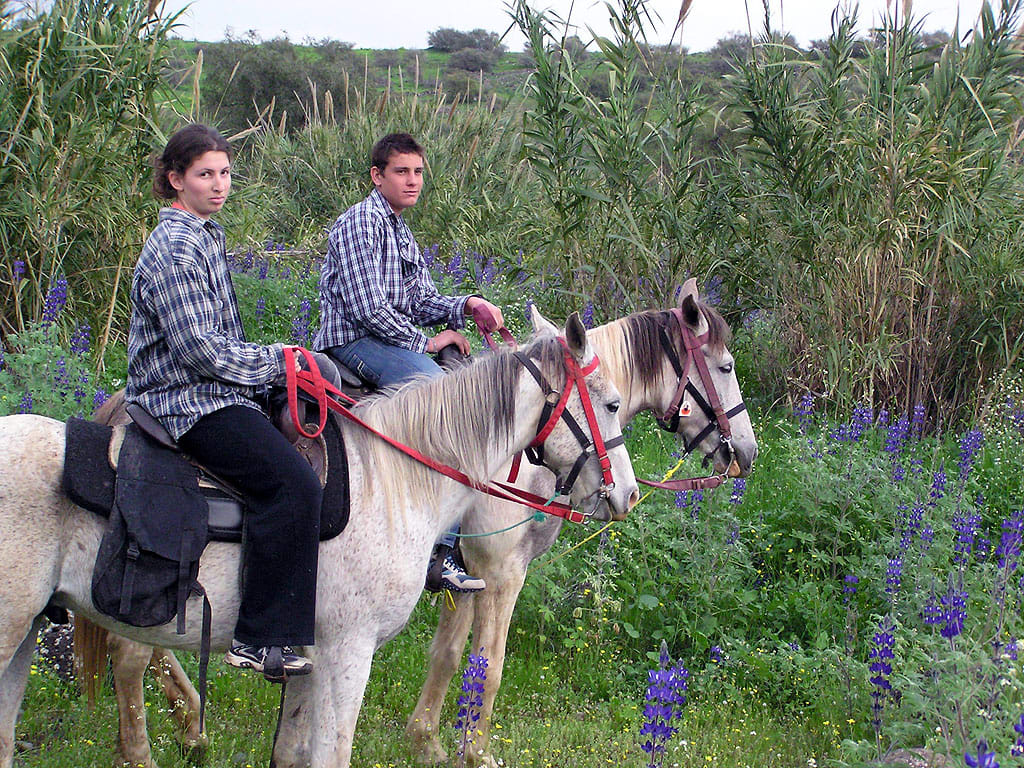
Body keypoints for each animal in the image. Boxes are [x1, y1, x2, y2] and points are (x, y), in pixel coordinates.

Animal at [0, 313, 634, 768]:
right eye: (611, 404)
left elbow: (292, 753)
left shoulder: (307, 654)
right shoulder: (348, 650)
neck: (394, 479)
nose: (625, 493)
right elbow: (334, 752)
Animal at [75, 280, 757, 768]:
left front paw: (427, 738)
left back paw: (188, 721)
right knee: (132, 650)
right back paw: (159, 737)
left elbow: (449, 654)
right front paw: (473, 751)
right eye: (724, 366)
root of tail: (122, 409)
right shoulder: (500, 570)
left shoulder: (465, 572)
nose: (744, 455)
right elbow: (490, 659)